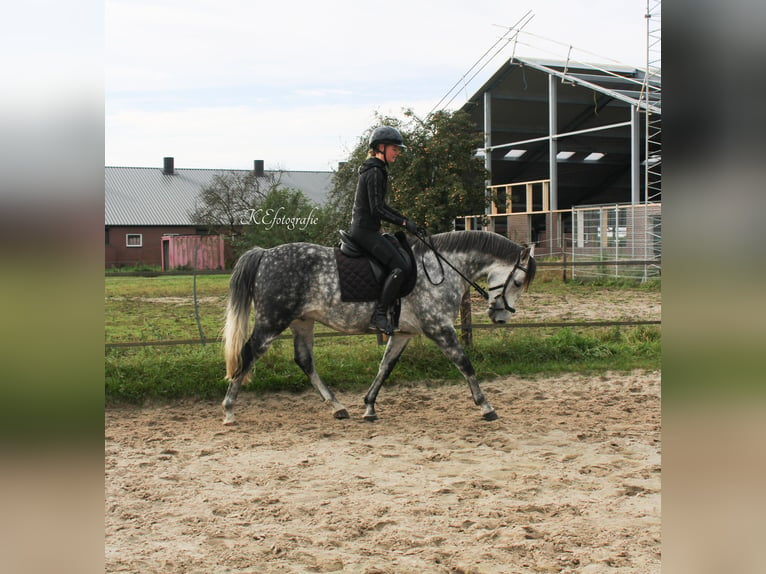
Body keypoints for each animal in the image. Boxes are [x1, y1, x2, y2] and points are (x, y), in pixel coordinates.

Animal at [220, 232, 536, 426]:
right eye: (518, 282)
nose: (501, 318)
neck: (440, 269)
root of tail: (264, 254)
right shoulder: (439, 327)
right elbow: (465, 364)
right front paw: (486, 407)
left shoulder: (403, 334)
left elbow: (385, 367)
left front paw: (369, 407)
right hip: (272, 321)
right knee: (247, 355)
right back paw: (229, 410)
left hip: (302, 322)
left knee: (304, 361)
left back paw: (337, 406)